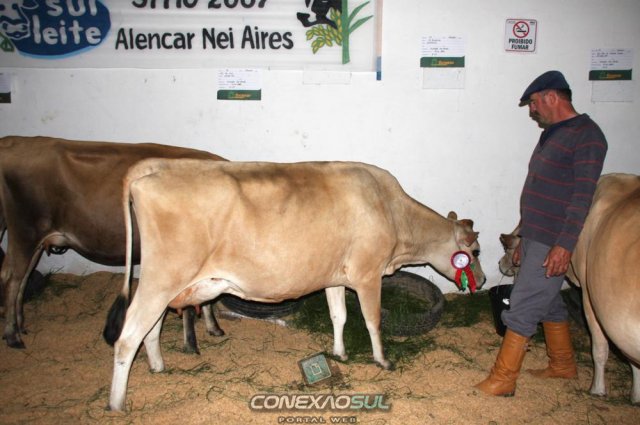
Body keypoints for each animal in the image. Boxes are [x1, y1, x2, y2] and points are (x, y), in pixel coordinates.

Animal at [0, 136, 226, 351]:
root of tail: (12, 140)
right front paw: (191, 344)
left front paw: (213, 328)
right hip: (25, 231)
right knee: (12, 278)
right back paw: (12, 336)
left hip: (34, 240)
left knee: (22, 278)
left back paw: (20, 325)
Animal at [104, 158, 486, 411]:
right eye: (474, 252)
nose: (481, 279)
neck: (391, 210)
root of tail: (158, 165)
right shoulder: (367, 274)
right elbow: (373, 320)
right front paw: (382, 360)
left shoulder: (335, 276)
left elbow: (339, 316)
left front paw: (339, 353)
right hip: (162, 279)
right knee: (127, 338)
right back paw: (117, 404)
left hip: (165, 283)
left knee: (150, 330)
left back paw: (158, 367)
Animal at [498, 173, 640, 404]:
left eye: (508, 247)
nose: (501, 263)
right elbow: (632, 362)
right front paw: (636, 396)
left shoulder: (591, 299)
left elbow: (599, 349)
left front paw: (597, 389)